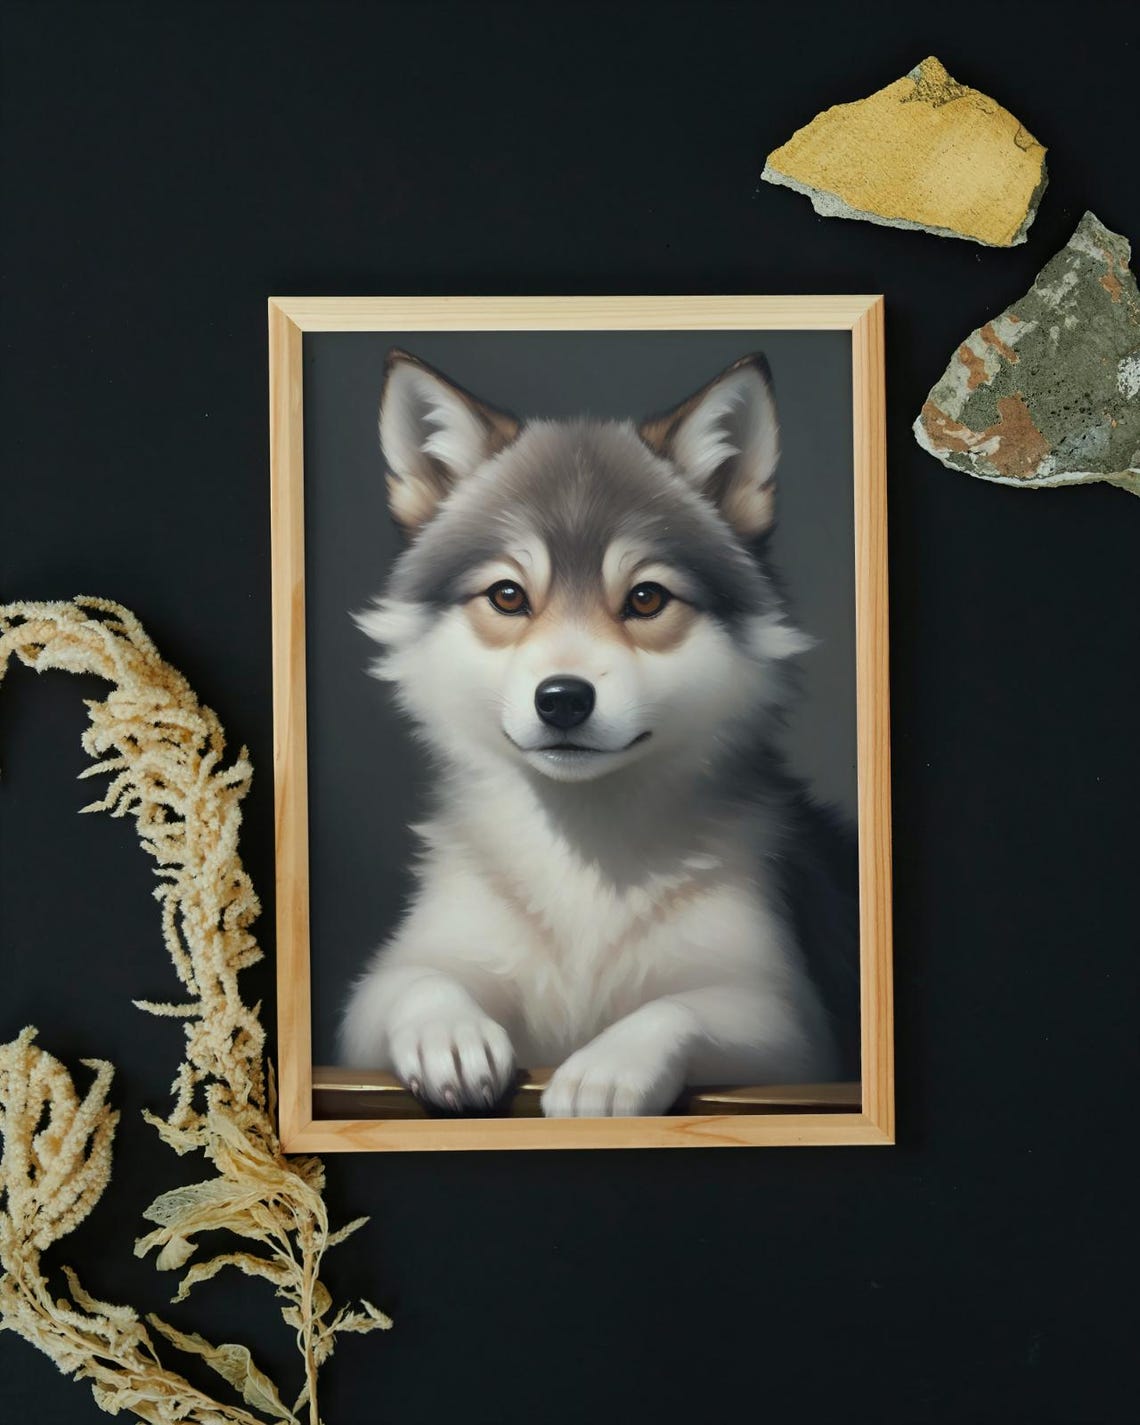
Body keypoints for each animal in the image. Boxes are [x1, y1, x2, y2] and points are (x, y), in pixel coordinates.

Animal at [340, 348, 859, 1117]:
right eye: (508, 595)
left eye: (645, 598)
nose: (562, 700)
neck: (582, 851)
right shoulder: (383, 992)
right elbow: (413, 981)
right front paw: (449, 1032)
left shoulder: (788, 1027)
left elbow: (677, 1008)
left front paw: (607, 1070)